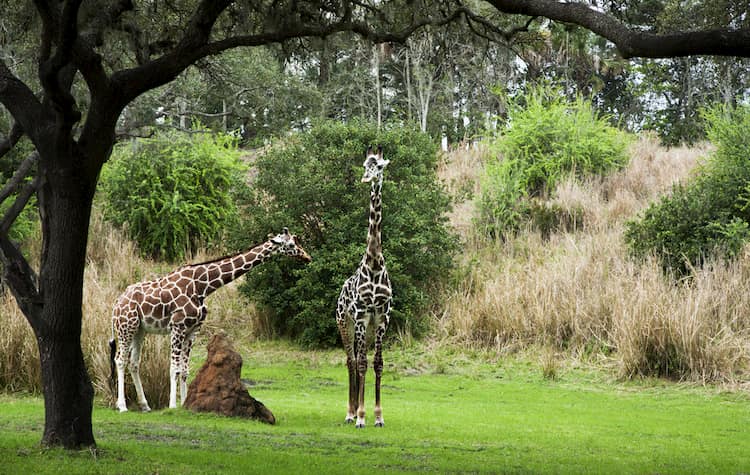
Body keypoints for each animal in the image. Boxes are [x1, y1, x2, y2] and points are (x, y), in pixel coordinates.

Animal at [108, 228, 312, 412]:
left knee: (134, 363)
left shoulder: (193, 330)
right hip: (126, 327)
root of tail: (116, 303)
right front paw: (172, 405)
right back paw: (122, 406)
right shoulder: (177, 327)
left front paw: (185, 404)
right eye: (291, 245)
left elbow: (184, 370)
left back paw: (145, 405)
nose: (307, 257)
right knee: (120, 360)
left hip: (140, 330)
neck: (202, 287)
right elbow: (174, 368)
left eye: (297, 242)